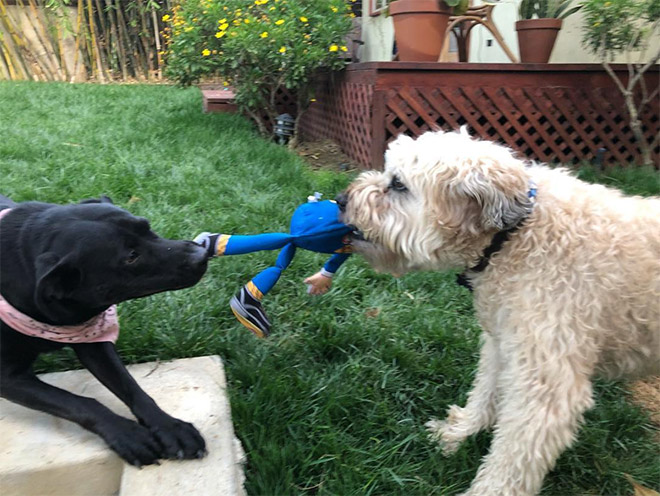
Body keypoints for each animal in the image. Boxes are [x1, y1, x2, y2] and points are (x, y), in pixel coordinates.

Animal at [0, 194, 209, 464]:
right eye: (131, 256)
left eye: (147, 226)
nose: (202, 253)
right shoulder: (7, 377)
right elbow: (79, 402)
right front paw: (127, 434)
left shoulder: (93, 342)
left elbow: (131, 387)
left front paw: (170, 428)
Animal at [340, 129, 660, 496]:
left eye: (398, 184)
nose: (340, 198)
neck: (512, 237)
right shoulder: (504, 343)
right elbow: (486, 391)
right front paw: (460, 430)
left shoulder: (545, 383)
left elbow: (512, 460)